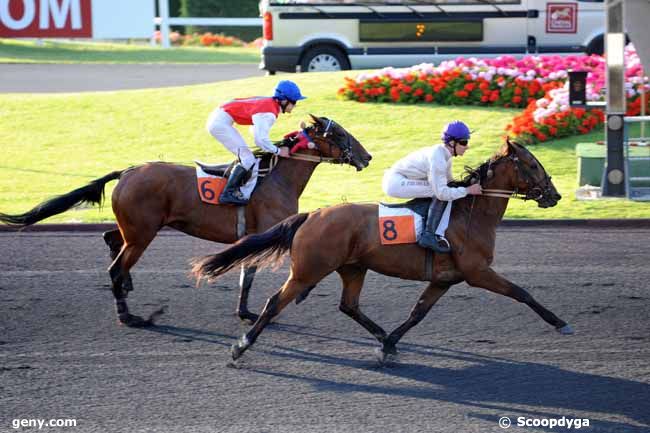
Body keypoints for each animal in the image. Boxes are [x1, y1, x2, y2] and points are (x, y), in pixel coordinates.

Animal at [0, 115, 372, 328]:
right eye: (339, 134)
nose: (367, 156)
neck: (276, 179)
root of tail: (128, 171)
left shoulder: (254, 237)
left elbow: (246, 276)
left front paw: (245, 312)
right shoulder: (265, 233)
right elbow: (250, 274)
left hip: (135, 229)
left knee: (111, 239)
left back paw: (127, 286)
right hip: (143, 233)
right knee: (116, 266)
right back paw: (128, 315)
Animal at [191, 138, 572, 362]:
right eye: (533, 165)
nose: (555, 195)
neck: (471, 215)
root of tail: (312, 214)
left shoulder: (445, 279)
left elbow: (418, 313)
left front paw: (390, 343)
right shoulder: (478, 272)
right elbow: (522, 292)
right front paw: (560, 322)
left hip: (353, 267)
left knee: (349, 305)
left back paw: (381, 336)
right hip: (308, 270)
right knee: (274, 303)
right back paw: (241, 345)